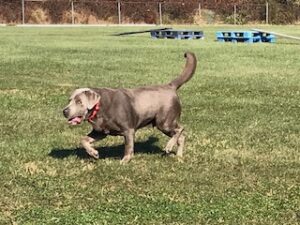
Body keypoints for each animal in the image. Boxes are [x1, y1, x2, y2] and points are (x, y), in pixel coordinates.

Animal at [62, 51, 197, 163]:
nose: (64, 111)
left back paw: (169, 146)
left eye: (79, 102)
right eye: (69, 100)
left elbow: (128, 147)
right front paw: (93, 153)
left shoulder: (128, 130)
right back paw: (179, 156)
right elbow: (83, 139)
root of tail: (170, 86)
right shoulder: (100, 131)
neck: (99, 108)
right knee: (181, 136)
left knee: (180, 129)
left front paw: (125, 161)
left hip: (164, 121)